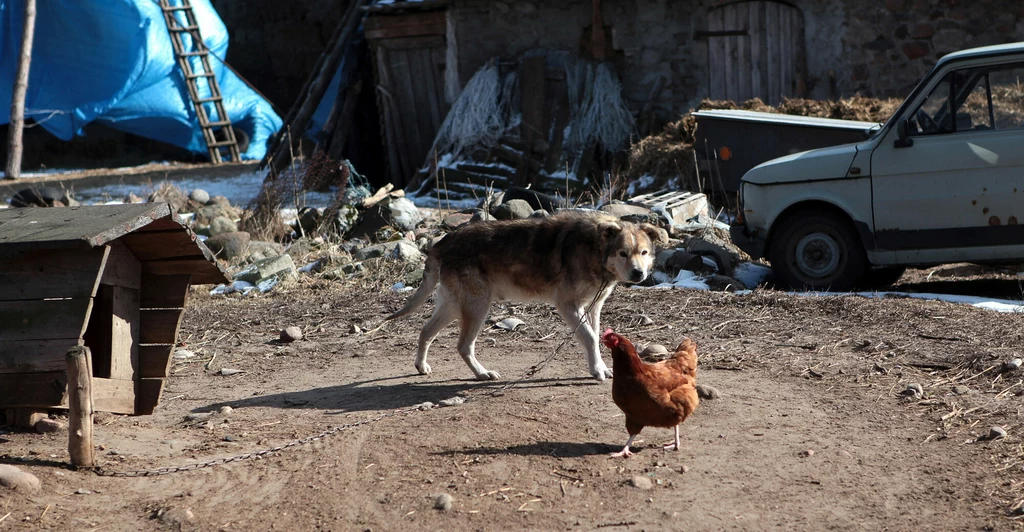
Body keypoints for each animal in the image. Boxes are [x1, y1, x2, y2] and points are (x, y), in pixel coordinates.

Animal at [380, 209, 659, 380]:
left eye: (643, 253)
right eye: (623, 253)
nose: (639, 273)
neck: (596, 251)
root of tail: (442, 242)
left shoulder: (593, 307)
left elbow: (595, 338)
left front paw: (599, 368)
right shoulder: (568, 305)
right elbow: (590, 338)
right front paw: (597, 372)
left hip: (455, 307)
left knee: (425, 331)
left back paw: (422, 367)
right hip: (477, 308)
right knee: (462, 346)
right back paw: (483, 374)